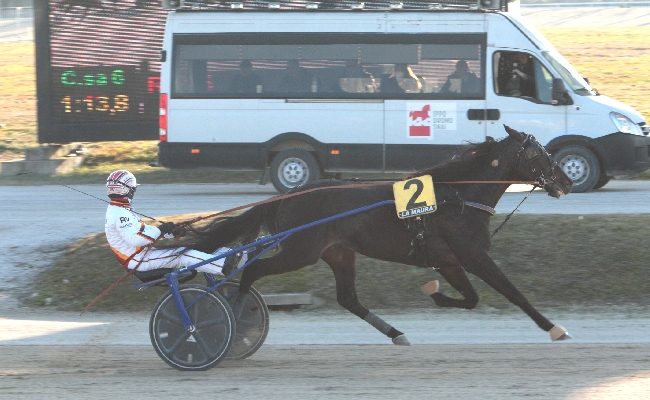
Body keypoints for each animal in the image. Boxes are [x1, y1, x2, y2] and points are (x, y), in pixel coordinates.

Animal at [184, 126, 572, 346]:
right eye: (536, 152)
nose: (566, 179)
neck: (459, 195)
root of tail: (287, 196)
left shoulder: (448, 260)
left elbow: (472, 298)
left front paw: (435, 293)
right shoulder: (472, 255)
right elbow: (512, 292)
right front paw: (554, 328)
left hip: (339, 252)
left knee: (348, 299)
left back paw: (396, 334)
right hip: (300, 251)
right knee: (252, 268)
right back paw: (233, 317)